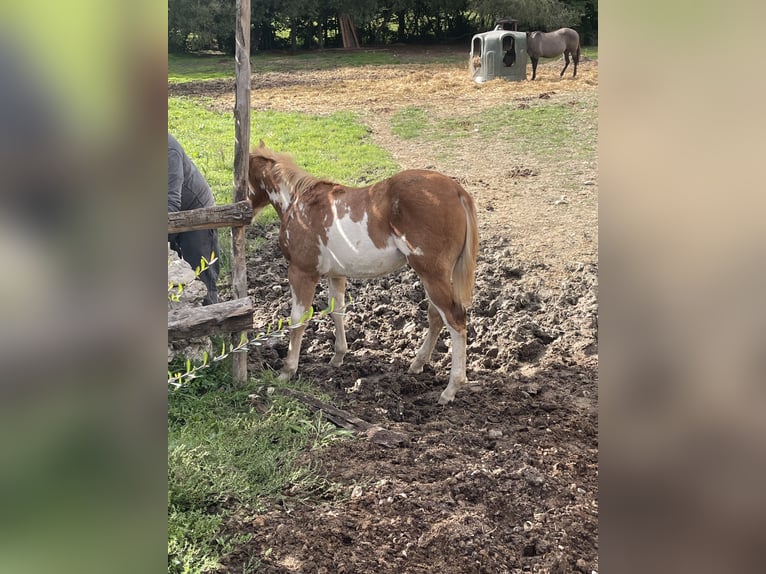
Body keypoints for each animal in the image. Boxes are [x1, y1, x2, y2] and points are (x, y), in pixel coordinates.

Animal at [247, 141, 479, 405]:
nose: (245, 211)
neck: (298, 202)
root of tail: (457, 191)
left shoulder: (301, 272)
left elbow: (298, 318)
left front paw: (287, 370)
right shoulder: (336, 274)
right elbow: (337, 310)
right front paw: (338, 357)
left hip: (432, 274)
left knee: (455, 319)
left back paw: (450, 389)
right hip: (435, 276)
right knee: (436, 316)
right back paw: (418, 364)